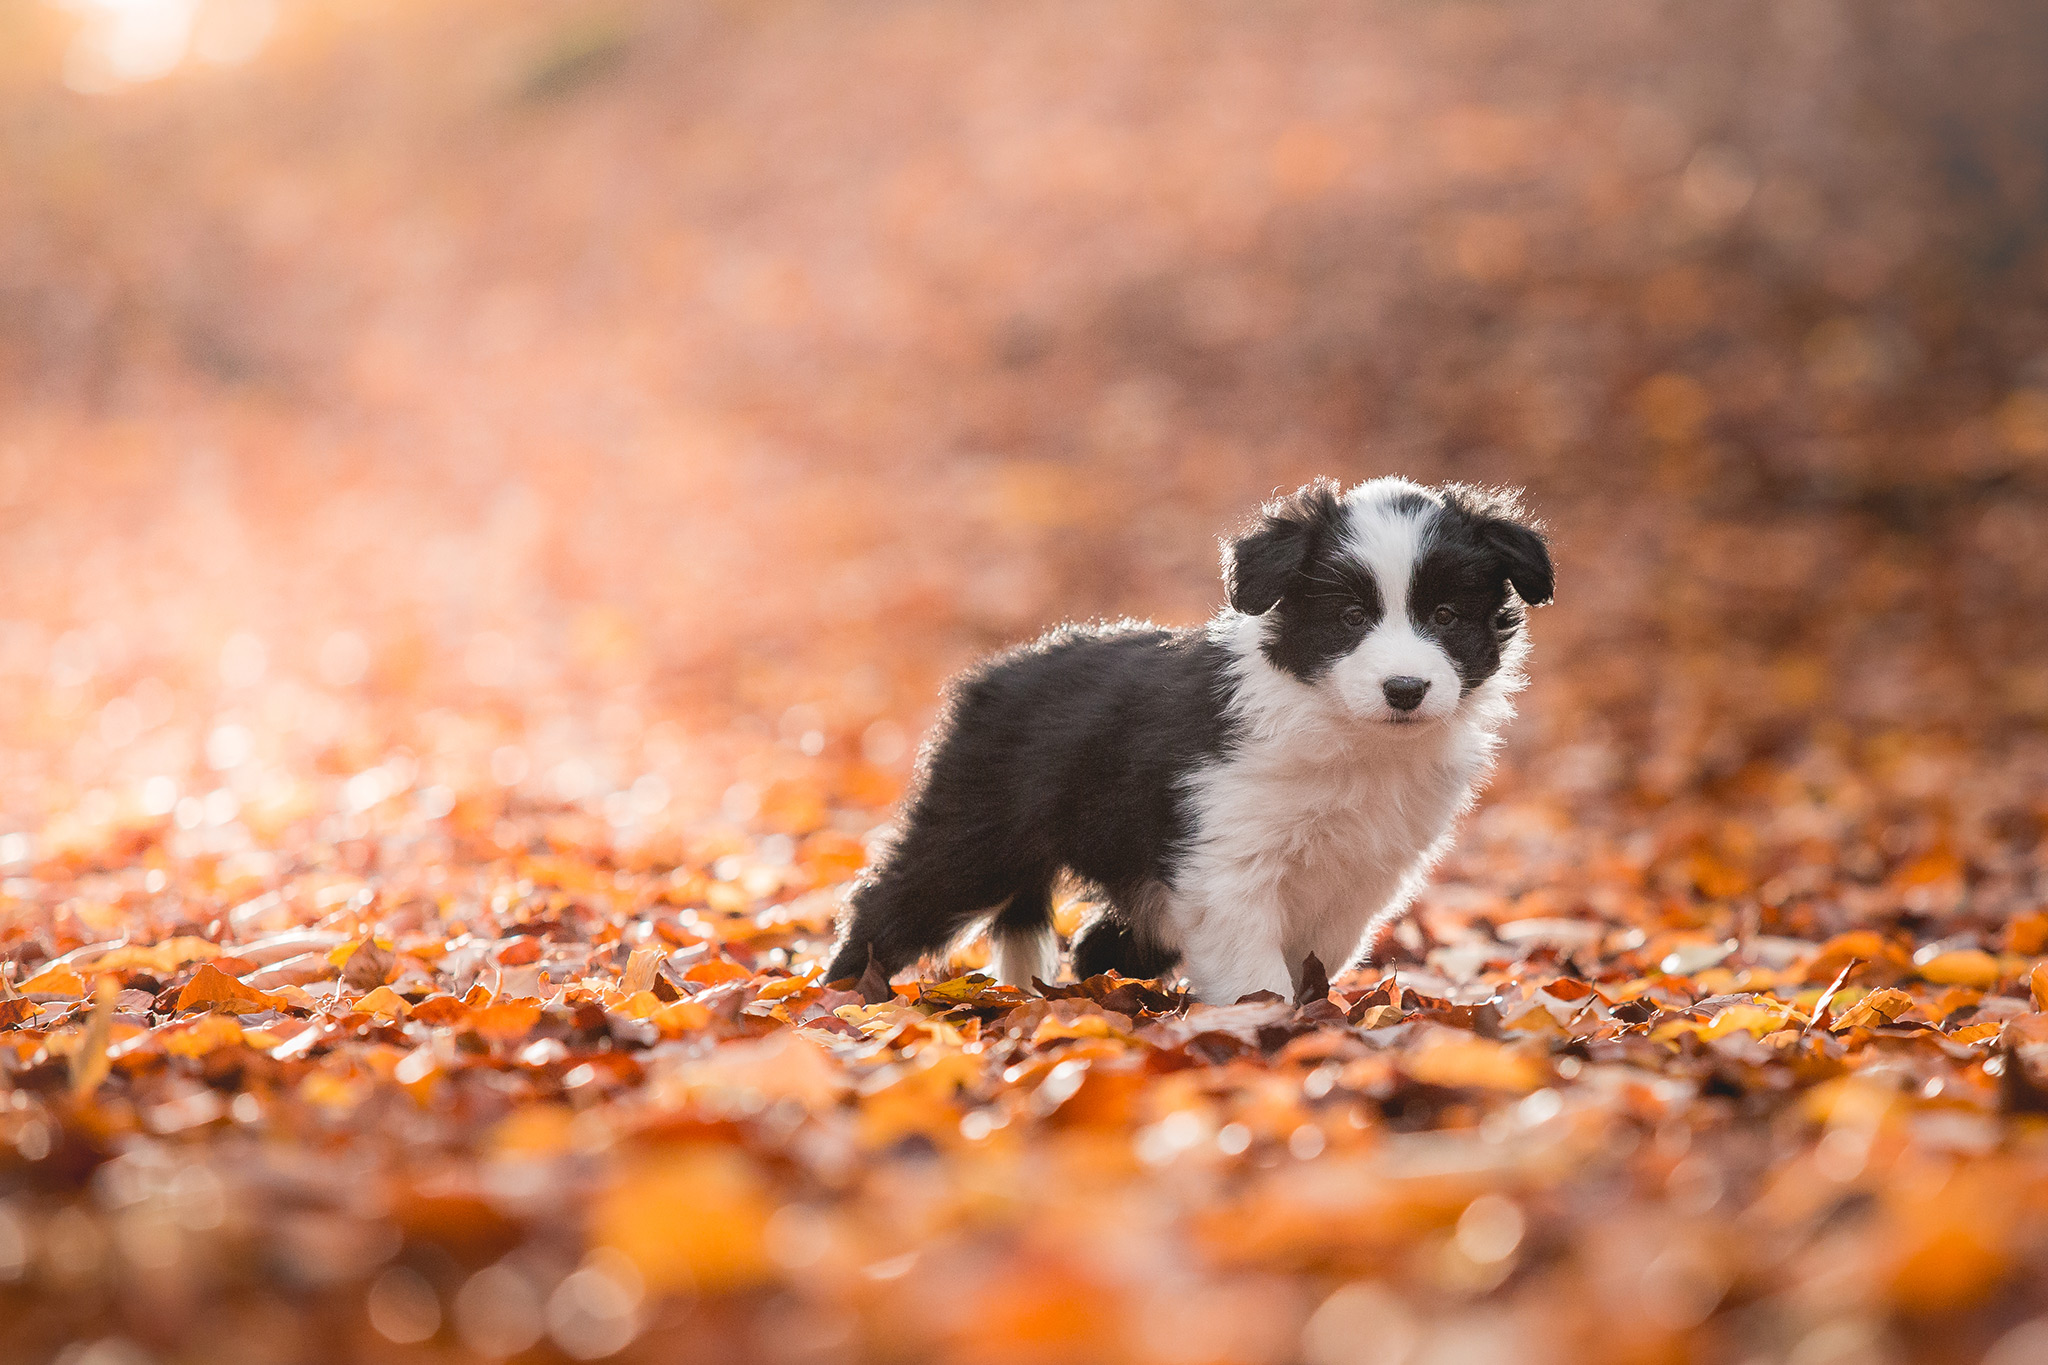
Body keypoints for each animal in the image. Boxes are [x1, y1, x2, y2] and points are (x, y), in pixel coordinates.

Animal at [819, 478, 1548, 1002]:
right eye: (1349, 617)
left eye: (1445, 616)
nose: (1405, 688)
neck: (1350, 735)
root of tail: (998, 672)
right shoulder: (1226, 854)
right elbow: (1253, 965)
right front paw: (1270, 1026)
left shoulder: (1362, 871)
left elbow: (1321, 949)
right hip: (980, 832)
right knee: (892, 899)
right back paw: (840, 996)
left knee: (1100, 940)